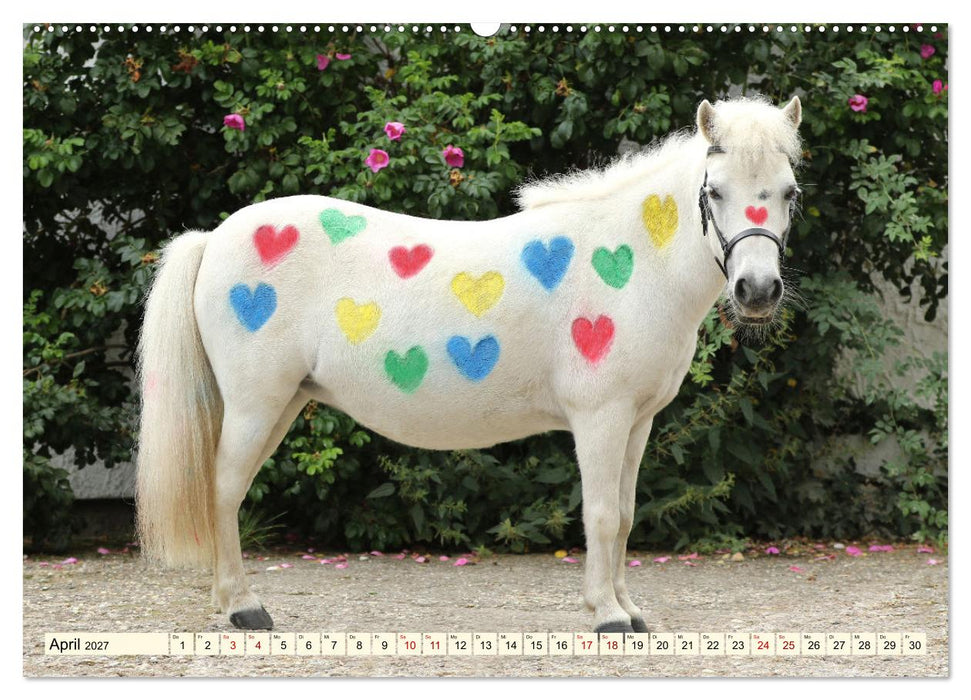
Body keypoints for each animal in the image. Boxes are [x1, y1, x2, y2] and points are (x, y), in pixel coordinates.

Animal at [136, 95, 803, 633]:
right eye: (714, 191)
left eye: (789, 192)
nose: (757, 291)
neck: (634, 262)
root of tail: (213, 239)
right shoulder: (600, 417)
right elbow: (601, 515)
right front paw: (607, 617)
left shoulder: (638, 421)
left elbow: (627, 514)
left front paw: (629, 609)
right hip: (256, 403)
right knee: (224, 490)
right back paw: (243, 608)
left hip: (284, 402)